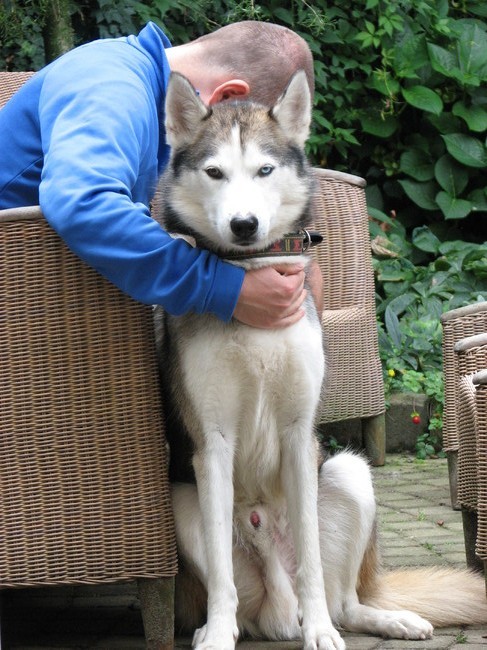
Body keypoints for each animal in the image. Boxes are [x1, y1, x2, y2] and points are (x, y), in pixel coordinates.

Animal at [155, 71, 487, 650]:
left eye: (264, 170)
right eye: (214, 172)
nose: (244, 225)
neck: (253, 282)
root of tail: (276, 607)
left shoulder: (297, 436)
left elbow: (310, 557)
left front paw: (321, 633)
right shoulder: (211, 443)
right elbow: (220, 574)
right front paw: (215, 634)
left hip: (350, 471)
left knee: (345, 601)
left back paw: (376, 620)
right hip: (181, 501)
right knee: (236, 586)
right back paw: (226, 627)